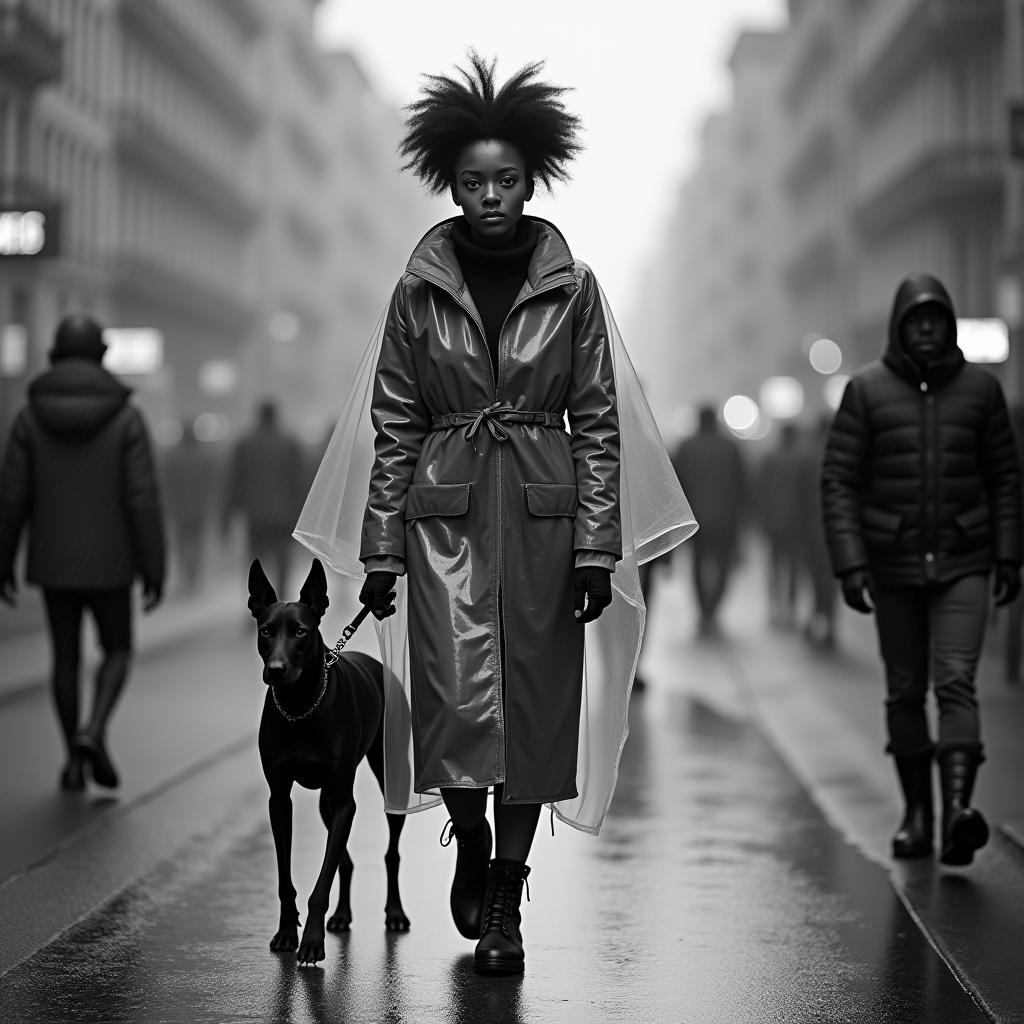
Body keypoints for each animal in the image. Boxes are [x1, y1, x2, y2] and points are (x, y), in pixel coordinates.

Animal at [247, 557, 407, 962]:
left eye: (301, 632)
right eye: (266, 630)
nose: (275, 670)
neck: (302, 706)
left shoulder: (346, 802)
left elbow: (321, 881)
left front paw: (311, 942)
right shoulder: (279, 799)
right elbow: (288, 878)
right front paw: (287, 932)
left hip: (386, 783)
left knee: (391, 854)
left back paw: (395, 913)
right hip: (326, 801)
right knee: (345, 861)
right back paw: (342, 914)